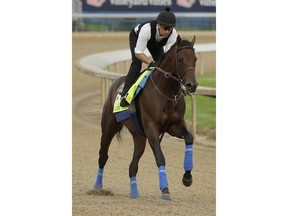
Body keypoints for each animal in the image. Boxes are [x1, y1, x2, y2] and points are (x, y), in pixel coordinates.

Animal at [94, 35, 198, 201]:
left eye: (195, 59)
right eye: (180, 59)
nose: (191, 85)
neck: (166, 91)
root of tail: (116, 83)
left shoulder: (174, 125)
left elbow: (189, 138)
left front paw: (187, 178)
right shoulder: (151, 129)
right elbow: (160, 157)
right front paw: (165, 189)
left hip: (139, 137)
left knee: (132, 166)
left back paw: (134, 193)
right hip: (109, 127)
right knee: (103, 156)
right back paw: (97, 187)